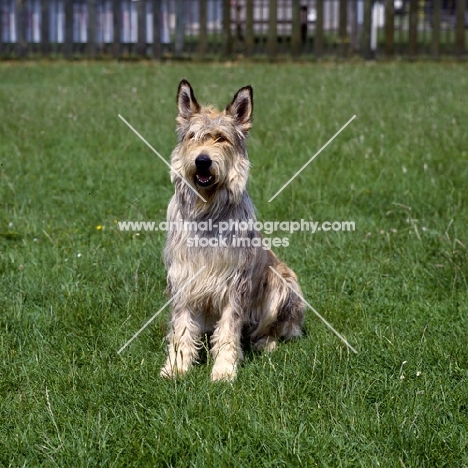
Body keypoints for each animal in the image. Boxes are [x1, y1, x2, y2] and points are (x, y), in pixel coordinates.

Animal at [161, 80, 308, 380]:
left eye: (221, 139)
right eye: (193, 136)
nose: (202, 161)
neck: (207, 210)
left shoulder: (234, 284)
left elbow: (229, 330)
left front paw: (224, 371)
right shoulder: (183, 279)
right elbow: (182, 327)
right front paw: (177, 366)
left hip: (282, 282)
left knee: (274, 330)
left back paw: (266, 343)